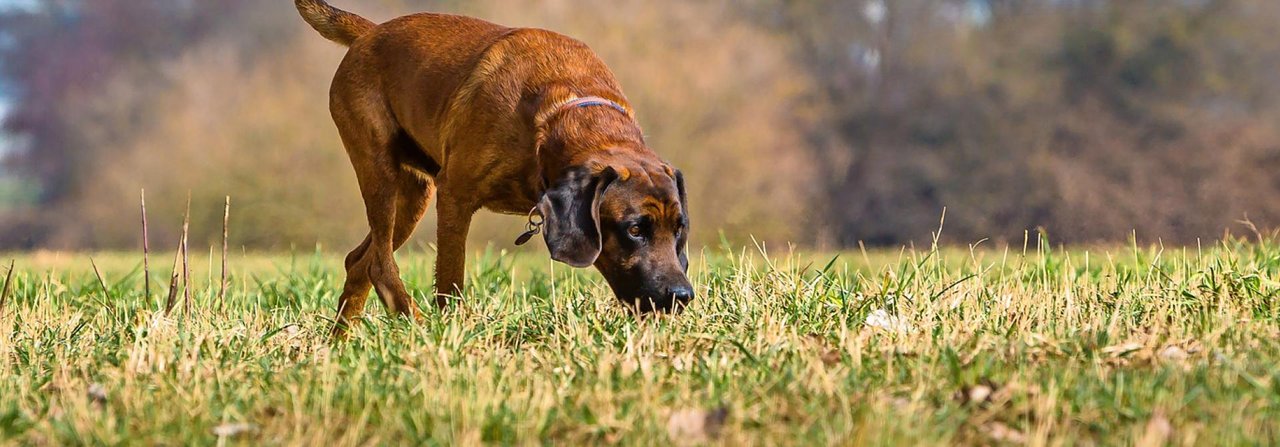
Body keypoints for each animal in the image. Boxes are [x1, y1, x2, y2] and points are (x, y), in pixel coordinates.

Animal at [294, 0, 696, 330]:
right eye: (634, 230)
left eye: (679, 229)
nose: (681, 296)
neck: (560, 111)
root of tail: (370, 32)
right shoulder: (454, 197)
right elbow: (451, 280)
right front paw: (452, 331)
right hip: (379, 170)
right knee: (379, 262)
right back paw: (413, 321)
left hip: (412, 197)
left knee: (359, 260)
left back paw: (340, 342)